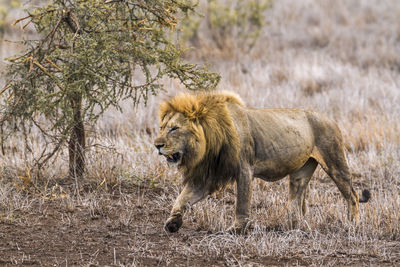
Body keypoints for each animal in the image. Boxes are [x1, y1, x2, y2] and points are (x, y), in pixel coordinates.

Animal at [152, 91, 368, 233]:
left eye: (174, 128)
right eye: (162, 127)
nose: (157, 145)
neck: (210, 140)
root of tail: (331, 119)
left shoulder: (244, 169)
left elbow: (242, 202)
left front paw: (237, 229)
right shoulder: (207, 176)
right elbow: (182, 199)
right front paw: (172, 223)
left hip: (335, 162)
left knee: (353, 196)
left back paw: (353, 225)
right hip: (300, 172)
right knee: (295, 203)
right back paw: (293, 227)